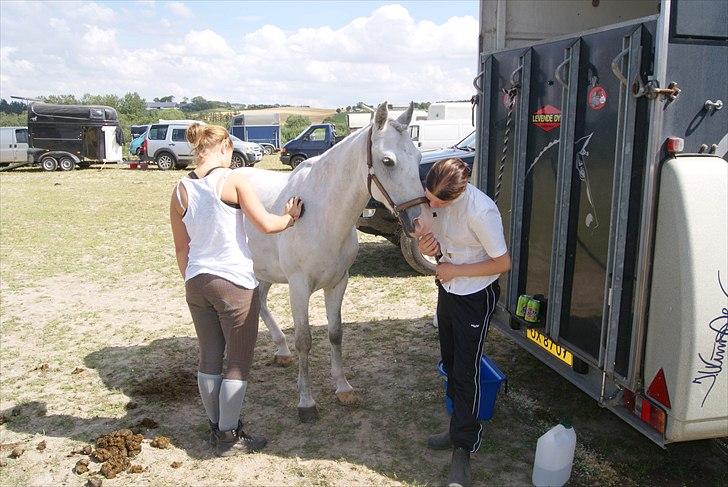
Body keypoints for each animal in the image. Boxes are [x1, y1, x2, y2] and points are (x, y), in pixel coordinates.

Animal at [239, 103, 432, 424]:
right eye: (387, 161)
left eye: (418, 158)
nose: (420, 222)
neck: (321, 214)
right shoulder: (298, 287)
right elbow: (305, 340)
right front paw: (306, 401)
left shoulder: (339, 282)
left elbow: (335, 334)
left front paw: (343, 388)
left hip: (263, 270)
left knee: (261, 301)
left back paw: (281, 350)